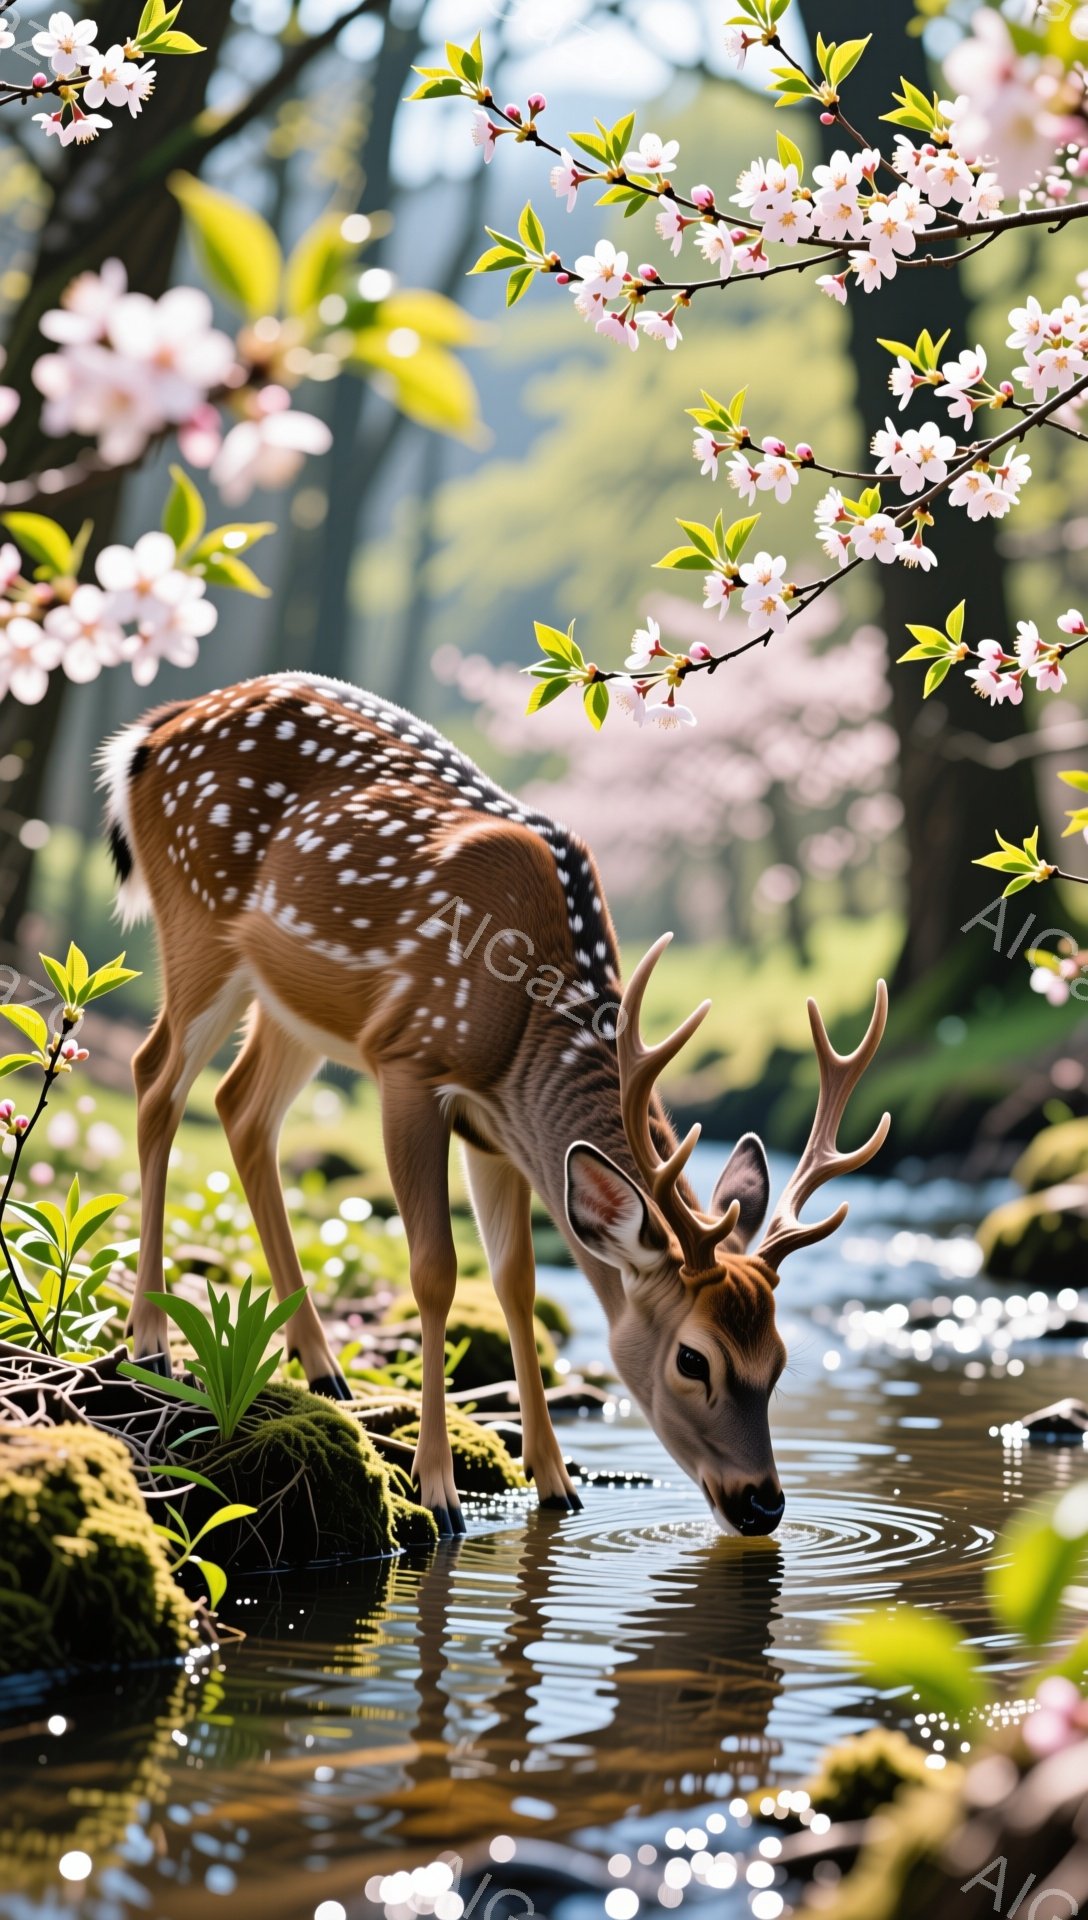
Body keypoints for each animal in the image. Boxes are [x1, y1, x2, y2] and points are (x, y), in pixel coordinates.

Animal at [99, 672, 889, 1539]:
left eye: (778, 1360)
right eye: (694, 1358)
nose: (762, 1503)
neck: (522, 1033)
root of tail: (150, 734)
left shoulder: (496, 1128)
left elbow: (516, 1282)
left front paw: (556, 1483)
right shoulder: (410, 1060)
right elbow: (437, 1271)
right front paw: (439, 1490)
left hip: (292, 1003)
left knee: (240, 1107)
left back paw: (322, 1364)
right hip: (196, 925)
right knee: (154, 1079)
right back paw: (150, 1339)